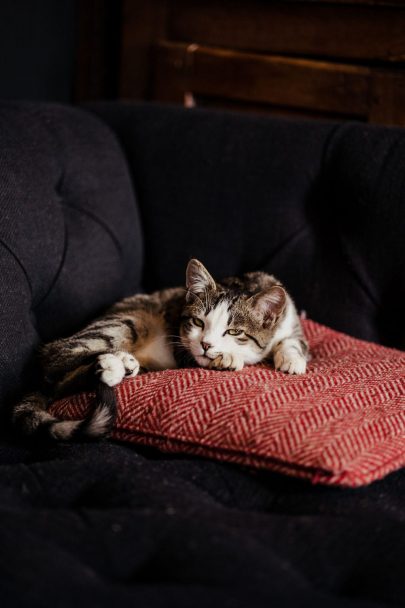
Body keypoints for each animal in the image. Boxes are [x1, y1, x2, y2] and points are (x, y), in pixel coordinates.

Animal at [14, 258, 308, 440]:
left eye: (234, 331)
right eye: (198, 322)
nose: (206, 344)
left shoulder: (290, 319)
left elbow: (295, 340)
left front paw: (292, 359)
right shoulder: (182, 350)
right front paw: (228, 357)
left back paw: (122, 364)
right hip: (128, 321)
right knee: (55, 358)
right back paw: (109, 365)